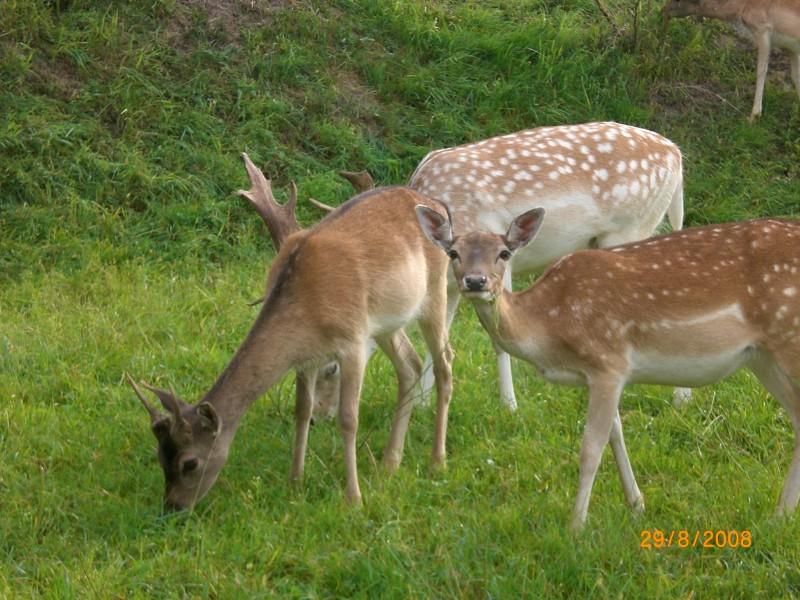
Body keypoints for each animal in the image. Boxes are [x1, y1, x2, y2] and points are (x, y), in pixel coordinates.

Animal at [125, 156, 450, 510]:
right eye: (160, 457)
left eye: (190, 463)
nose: (173, 506)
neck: (307, 310)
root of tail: (438, 206)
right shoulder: (308, 358)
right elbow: (301, 410)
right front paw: (295, 481)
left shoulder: (352, 341)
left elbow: (348, 418)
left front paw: (353, 498)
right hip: (385, 323)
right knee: (410, 364)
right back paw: (391, 461)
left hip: (434, 293)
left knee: (444, 364)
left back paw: (436, 460)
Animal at [316, 122, 692, 412]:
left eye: (331, 367)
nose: (324, 415)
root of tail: (676, 154)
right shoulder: (450, 281)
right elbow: (439, 337)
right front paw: (422, 404)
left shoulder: (498, 259)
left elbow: (498, 336)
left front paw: (509, 405)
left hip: (631, 227)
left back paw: (679, 397)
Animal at [416, 205, 800, 528]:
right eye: (453, 253)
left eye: (504, 253)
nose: (476, 281)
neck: (549, 329)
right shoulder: (597, 374)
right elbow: (616, 433)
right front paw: (637, 504)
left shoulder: (608, 361)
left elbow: (592, 446)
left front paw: (576, 526)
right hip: (761, 357)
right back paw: (780, 515)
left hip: (787, 338)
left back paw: (780, 515)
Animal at [664, 0, 800, 120]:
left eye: (678, 0)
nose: (664, 10)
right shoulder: (790, 48)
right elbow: (795, 76)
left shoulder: (762, 29)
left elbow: (761, 70)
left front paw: (753, 115)